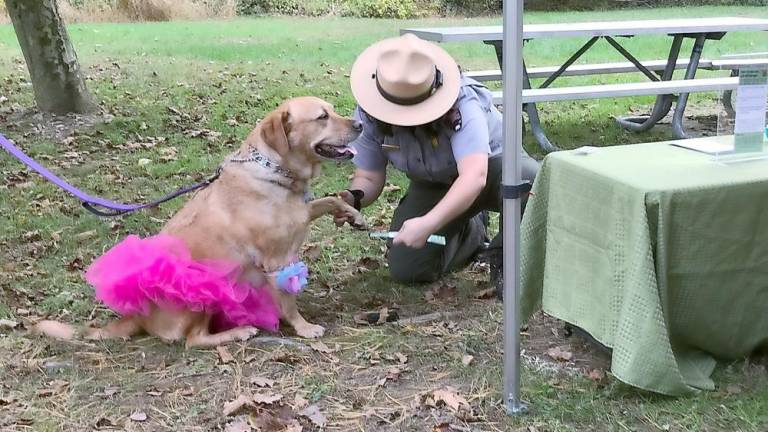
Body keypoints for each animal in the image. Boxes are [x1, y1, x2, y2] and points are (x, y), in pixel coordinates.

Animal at [37, 98, 368, 348]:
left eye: (332, 109)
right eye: (322, 117)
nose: (360, 125)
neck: (275, 172)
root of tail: (138, 316)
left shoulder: (300, 213)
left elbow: (329, 200)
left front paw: (354, 215)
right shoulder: (275, 261)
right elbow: (288, 302)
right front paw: (304, 327)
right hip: (204, 294)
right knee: (192, 340)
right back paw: (238, 331)